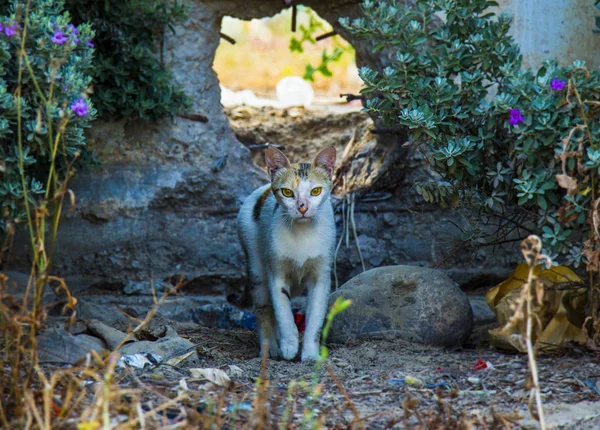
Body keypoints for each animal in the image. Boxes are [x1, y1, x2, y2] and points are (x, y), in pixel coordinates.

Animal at [236, 146, 338, 362]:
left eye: (315, 191)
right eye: (287, 193)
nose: (302, 207)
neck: (302, 234)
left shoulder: (321, 276)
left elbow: (315, 318)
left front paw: (310, 354)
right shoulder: (276, 274)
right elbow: (283, 313)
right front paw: (289, 346)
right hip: (256, 268)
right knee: (264, 310)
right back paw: (270, 348)